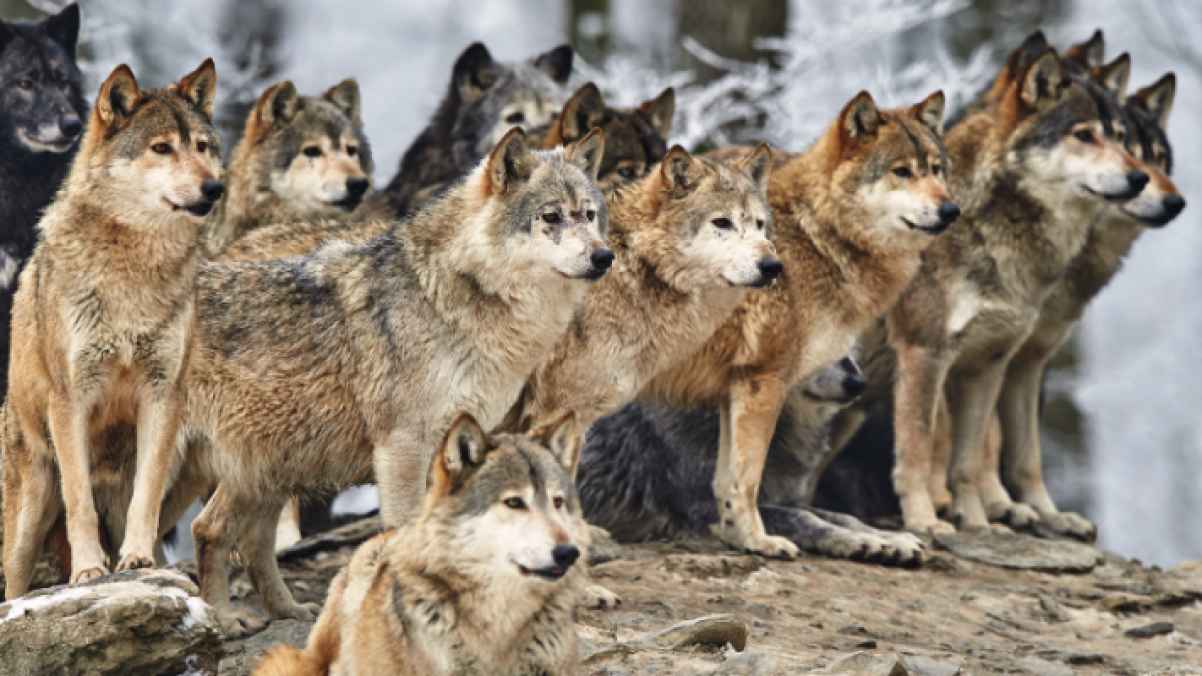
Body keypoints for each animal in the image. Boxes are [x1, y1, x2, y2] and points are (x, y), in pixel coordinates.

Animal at [2, 60, 223, 599]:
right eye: (161, 148)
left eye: (202, 146)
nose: (214, 188)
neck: (133, 273)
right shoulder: (71, 399)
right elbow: (79, 501)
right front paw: (88, 571)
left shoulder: (163, 395)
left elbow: (146, 497)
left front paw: (137, 559)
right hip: (27, 518)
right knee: (14, 584)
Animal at [183, 127, 609, 633]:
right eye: (551, 217)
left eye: (589, 215)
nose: (605, 256)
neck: (453, 294)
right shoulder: (402, 447)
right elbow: (405, 532)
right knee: (207, 530)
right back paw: (223, 620)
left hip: (271, 465)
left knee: (230, 535)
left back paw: (284, 611)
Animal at [627, 89, 955, 559]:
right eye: (902, 172)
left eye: (936, 169)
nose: (951, 210)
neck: (818, 235)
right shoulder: (765, 379)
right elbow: (748, 480)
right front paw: (758, 540)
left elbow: (735, 483)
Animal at [887, 47, 1150, 535]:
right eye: (1084, 135)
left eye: (1122, 139)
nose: (1140, 178)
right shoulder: (924, 353)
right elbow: (918, 449)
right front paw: (924, 521)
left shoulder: (1000, 362)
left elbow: (984, 459)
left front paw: (985, 523)